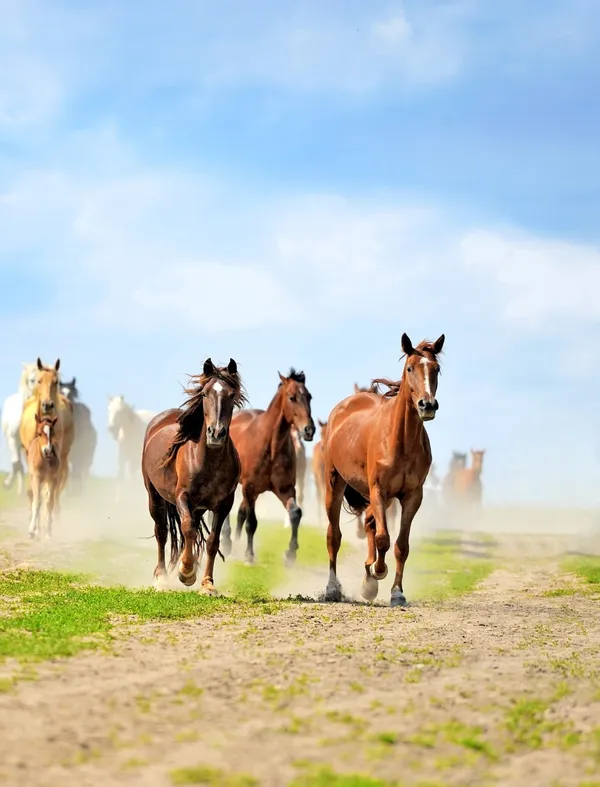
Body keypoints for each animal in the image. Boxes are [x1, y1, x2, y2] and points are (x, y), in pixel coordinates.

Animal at [1, 362, 40, 495]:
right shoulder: (13, 440)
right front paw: (7, 484)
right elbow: (17, 464)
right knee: (18, 465)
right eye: (32, 380)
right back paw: (19, 490)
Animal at [141, 359, 246, 594]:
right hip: (154, 496)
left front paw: (207, 583)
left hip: (198, 508)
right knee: (162, 531)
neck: (210, 462)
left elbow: (213, 541)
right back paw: (161, 578)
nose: (216, 433)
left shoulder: (224, 504)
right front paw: (187, 572)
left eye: (231, 394)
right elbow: (187, 528)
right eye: (205, 394)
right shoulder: (182, 497)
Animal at [221, 368, 315, 566]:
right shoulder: (249, 488)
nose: (309, 430)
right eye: (292, 397)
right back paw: (227, 543)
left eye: (309, 396)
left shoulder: (285, 489)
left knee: (240, 513)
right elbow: (252, 522)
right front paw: (249, 556)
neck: (271, 447)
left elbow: (295, 513)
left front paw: (291, 553)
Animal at [323, 332, 445, 607]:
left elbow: (401, 545)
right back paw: (333, 587)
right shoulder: (379, 490)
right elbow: (383, 539)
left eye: (436, 369)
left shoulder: (412, 496)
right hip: (334, 484)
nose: (427, 405)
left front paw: (396, 592)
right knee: (334, 536)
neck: (400, 440)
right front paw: (378, 572)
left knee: (369, 522)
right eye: (410, 367)